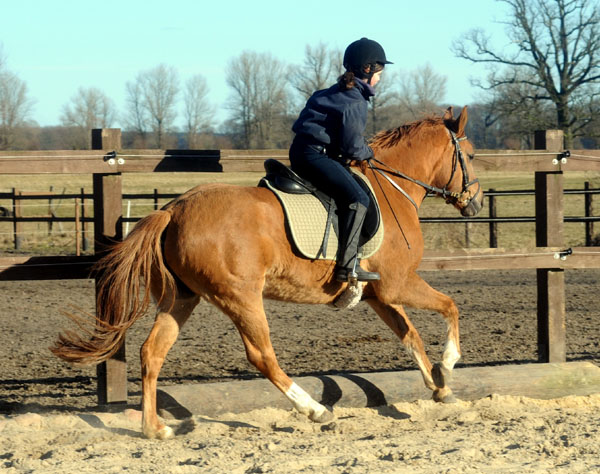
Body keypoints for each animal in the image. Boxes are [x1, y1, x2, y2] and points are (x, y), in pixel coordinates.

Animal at [50, 105, 482, 438]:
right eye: (472, 155)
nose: (475, 202)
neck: (394, 187)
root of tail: (173, 209)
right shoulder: (398, 284)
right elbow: (450, 306)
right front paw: (448, 365)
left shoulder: (379, 294)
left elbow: (410, 336)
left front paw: (439, 388)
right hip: (241, 298)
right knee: (262, 356)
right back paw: (315, 411)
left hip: (181, 299)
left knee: (152, 353)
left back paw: (156, 429)